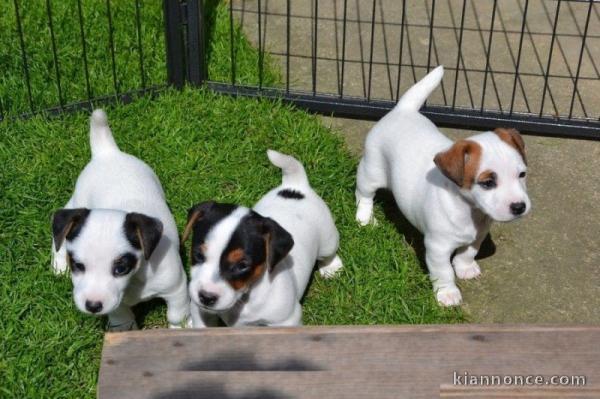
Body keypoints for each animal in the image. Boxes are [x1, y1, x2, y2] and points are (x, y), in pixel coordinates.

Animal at [53, 108, 191, 332]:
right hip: (77, 201)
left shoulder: (176, 287)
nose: (93, 305)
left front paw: (183, 328)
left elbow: (177, 314)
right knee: (58, 235)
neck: (135, 279)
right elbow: (122, 317)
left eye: (120, 268)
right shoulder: (115, 305)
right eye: (78, 266)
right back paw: (58, 262)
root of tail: (108, 152)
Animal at [182, 150, 342, 328]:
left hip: (328, 240)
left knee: (328, 254)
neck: (245, 295)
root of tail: (295, 187)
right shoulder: (202, 311)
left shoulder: (286, 320)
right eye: (198, 255)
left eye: (242, 265)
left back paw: (331, 266)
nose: (206, 297)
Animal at [356, 67, 528, 308]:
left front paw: (465, 268)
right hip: (371, 172)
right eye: (488, 183)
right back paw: (364, 217)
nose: (519, 207)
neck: (469, 210)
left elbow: (468, 253)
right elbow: (444, 271)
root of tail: (403, 110)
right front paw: (447, 293)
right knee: (363, 194)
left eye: (522, 174)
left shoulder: (478, 235)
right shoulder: (437, 248)